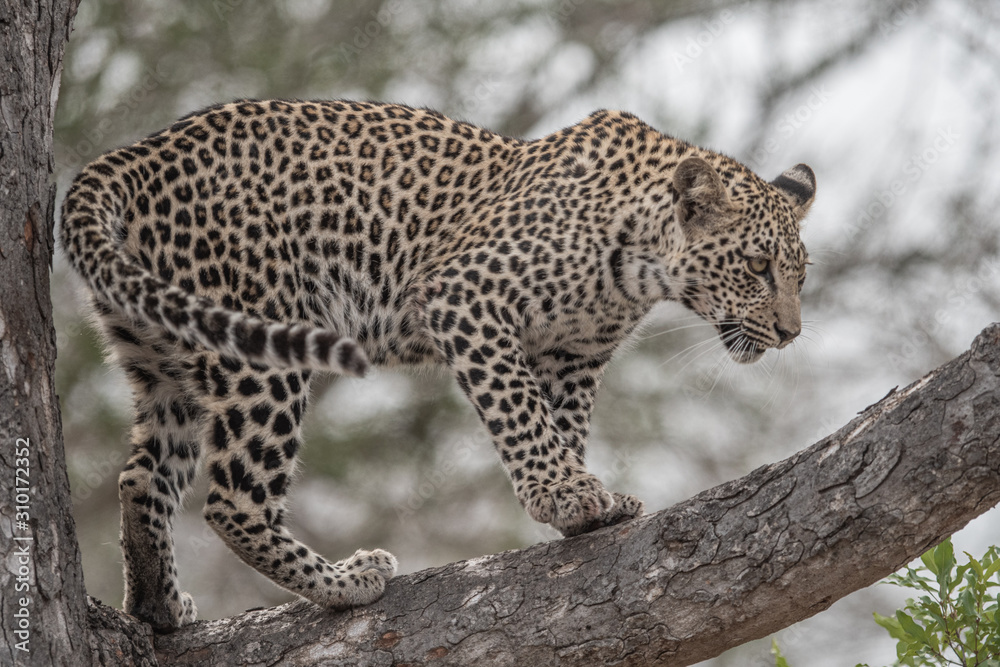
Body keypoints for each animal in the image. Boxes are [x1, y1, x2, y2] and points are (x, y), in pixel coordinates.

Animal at [60, 96, 812, 628]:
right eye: (757, 265)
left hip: (165, 358)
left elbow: (561, 423)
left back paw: (161, 608)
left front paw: (582, 504)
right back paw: (346, 583)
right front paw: (565, 494)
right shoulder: (465, 297)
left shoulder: (571, 354)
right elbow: (520, 413)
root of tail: (135, 153)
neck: (644, 266)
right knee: (233, 500)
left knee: (141, 477)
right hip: (259, 351)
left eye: (800, 274)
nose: (790, 332)